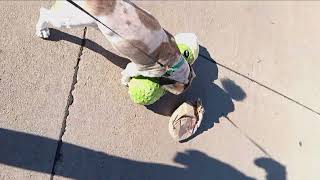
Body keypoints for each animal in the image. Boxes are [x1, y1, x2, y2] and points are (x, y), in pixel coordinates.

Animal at [35, 0, 195, 95]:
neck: (174, 62)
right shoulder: (135, 68)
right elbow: (127, 74)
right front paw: (126, 82)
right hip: (73, 20)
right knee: (44, 13)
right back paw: (42, 30)